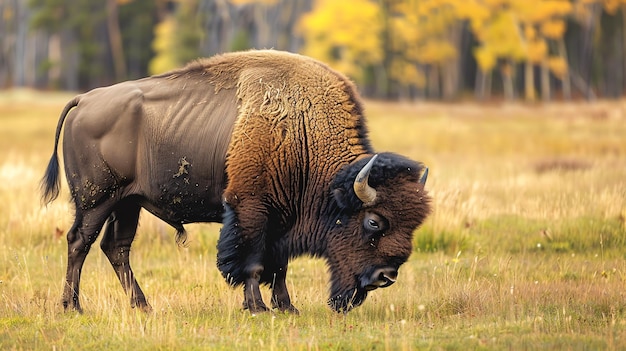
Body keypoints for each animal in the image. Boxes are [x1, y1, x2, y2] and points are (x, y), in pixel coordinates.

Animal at [39, 48, 428, 314]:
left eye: (413, 226)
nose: (385, 276)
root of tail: (84, 99)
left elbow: (279, 265)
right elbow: (251, 261)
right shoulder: (252, 209)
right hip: (96, 200)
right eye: (374, 221)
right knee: (79, 242)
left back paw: (143, 306)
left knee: (116, 248)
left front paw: (287, 307)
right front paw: (257, 307)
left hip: (127, 203)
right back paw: (73, 306)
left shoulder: (282, 220)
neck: (302, 132)